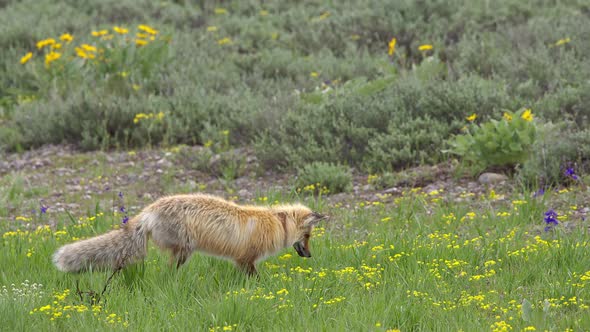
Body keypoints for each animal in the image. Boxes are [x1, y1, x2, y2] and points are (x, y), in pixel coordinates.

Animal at [52, 195, 328, 274]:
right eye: (308, 237)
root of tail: (149, 209)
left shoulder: (243, 261)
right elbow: (256, 280)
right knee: (168, 272)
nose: (310, 256)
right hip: (184, 251)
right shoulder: (245, 259)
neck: (276, 222)